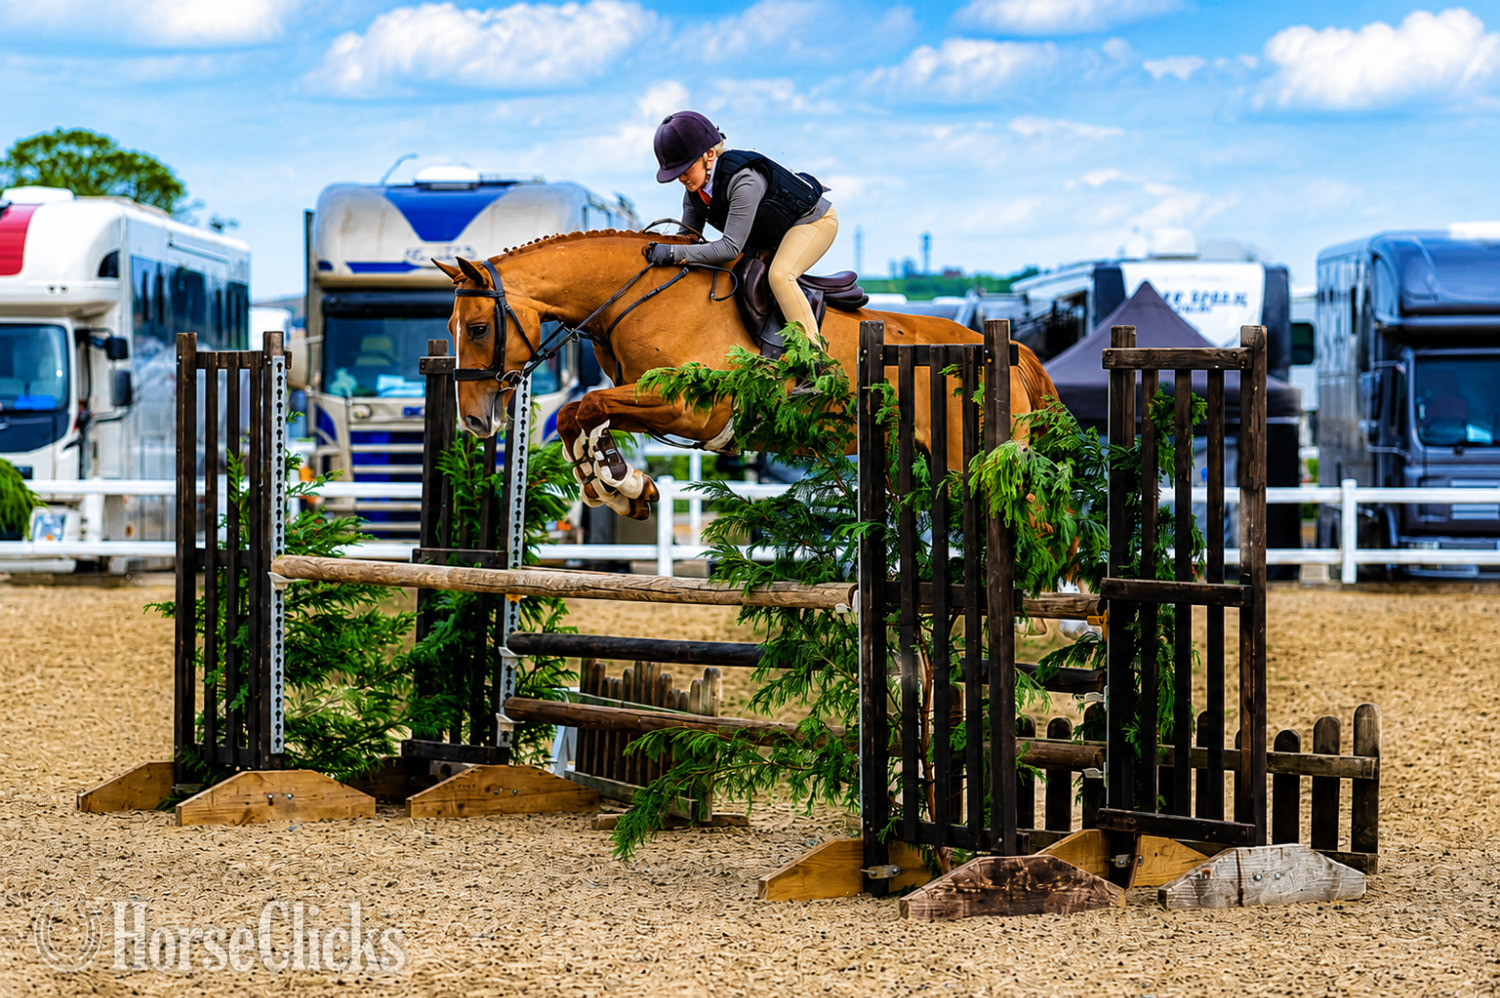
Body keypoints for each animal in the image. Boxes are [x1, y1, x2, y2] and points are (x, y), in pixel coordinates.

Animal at [434, 230, 1060, 520]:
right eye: (452, 327)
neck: (634, 296)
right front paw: (619, 485)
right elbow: (580, 413)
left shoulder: (690, 409)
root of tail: (1005, 348)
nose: (475, 423)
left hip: (973, 460)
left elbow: (583, 405)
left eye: (480, 327)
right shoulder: (643, 400)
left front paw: (616, 481)